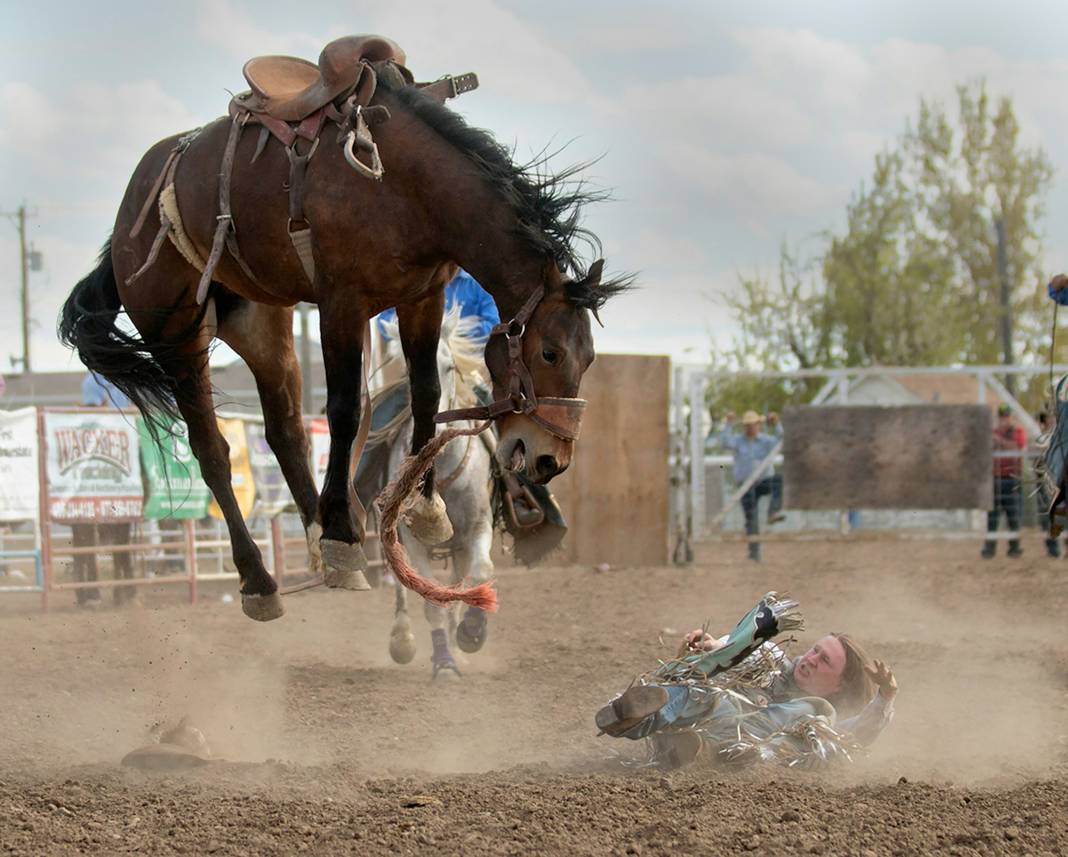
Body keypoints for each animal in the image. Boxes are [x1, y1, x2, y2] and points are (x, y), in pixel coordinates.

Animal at [58, 34, 623, 619]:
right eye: (550, 352)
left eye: (588, 356)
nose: (550, 458)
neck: (406, 183)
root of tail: (130, 212)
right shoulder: (341, 304)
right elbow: (344, 411)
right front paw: (345, 535)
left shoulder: (423, 296)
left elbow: (426, 392)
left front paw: (423, 510)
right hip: (177, 337)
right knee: (212, 449)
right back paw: (261, 577)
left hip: (263, 323)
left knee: (285, 431)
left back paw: (319, 540)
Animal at [380, 307, 495, 675]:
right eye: (406, 370)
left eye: (448, 367)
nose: (436, 423)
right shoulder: (411, 539)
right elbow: (430, 603)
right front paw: (444, 664)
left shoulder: (478, 525)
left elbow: (481, 572)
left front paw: (472, 633)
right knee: (402, 588)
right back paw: (402, 640)